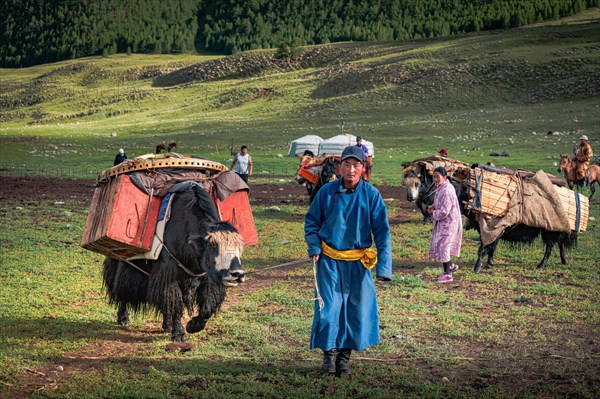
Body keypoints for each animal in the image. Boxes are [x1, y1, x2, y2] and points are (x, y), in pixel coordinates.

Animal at [102, 181, 245, 340]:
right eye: (213, 245)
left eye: (240, 246)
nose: (237, 274)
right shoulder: (169, 272)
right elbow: (175, 300)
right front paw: (179, 334)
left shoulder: (207, 276)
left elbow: (208, 304)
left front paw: (193, 326)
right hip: (120, 261)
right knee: (121, 287)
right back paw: (123, 318)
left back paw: (166, 325)